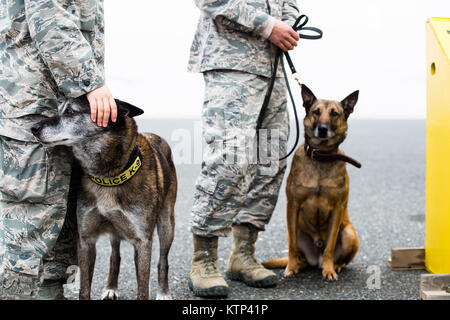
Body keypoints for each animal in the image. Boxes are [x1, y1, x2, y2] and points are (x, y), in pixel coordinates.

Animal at [30, 97, 176, 300]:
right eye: (57, 110)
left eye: (70, 112)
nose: (33, 127)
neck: (108, 177)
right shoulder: (86, 240)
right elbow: (84, 289)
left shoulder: (143, 242)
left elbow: (143, 289)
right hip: (115, 231)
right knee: (115, 255)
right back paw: (111, 287)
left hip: (166, 225)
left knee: (163, 259)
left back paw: (163, 292)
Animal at [264, 84, 362, 280]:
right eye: (316, 112)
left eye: (334, 113)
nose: (322, 129)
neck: (321, 156)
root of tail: (315, 259)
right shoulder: (293, 206)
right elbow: (292, 248)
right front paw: (291, 268)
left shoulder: (337, 209)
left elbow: (330, 246)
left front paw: (329, 270)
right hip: (294, 232)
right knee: (297, 251)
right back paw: (298, 265)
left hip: (349, 234)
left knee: (339, 258)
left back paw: (334, 265)